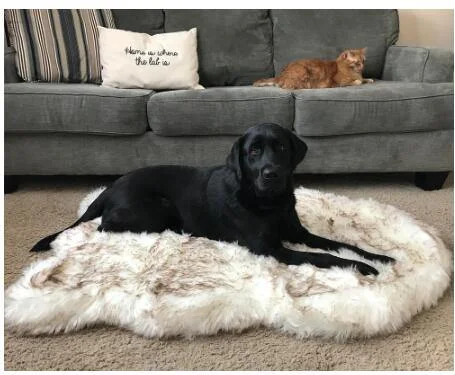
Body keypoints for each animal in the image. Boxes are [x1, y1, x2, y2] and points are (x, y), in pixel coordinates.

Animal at [33, 125, 396, 274]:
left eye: (280, 147)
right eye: (253, 152)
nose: (271, 174)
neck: (269, 202)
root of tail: (111, 186)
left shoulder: (299, 233)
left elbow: (341, 244)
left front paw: (381, 257)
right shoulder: (271, 249)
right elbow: (324, 257)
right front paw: (364, 269)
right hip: (158, 211)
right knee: (103, 227)